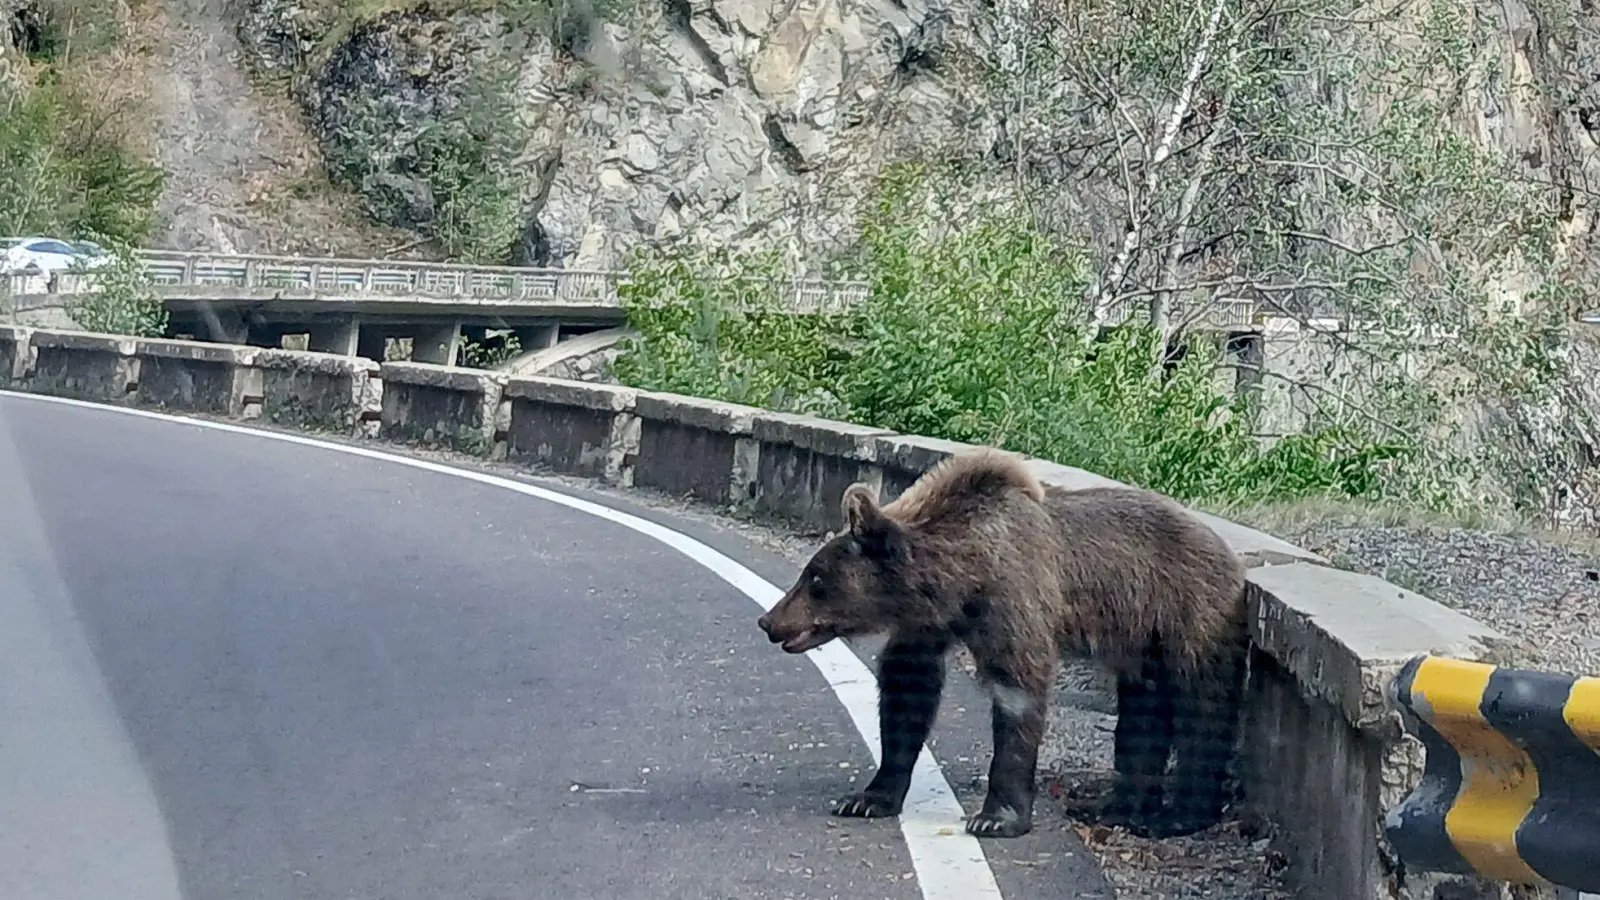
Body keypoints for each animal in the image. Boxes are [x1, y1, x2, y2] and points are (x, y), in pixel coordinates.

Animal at [755, 448, 1251, 840]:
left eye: (815, 579)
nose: (769, 621)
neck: (963, 577)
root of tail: (1232, 556)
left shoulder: (1016, 600)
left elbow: (1017, 691)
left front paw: (997, 816)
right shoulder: (933, 622)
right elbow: (907, 686)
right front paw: (869, 796)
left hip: (1190, 613)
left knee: (1202, 707)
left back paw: (1180, 815)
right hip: (1140, 643)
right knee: (1143, 715)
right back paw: (1117, 805)